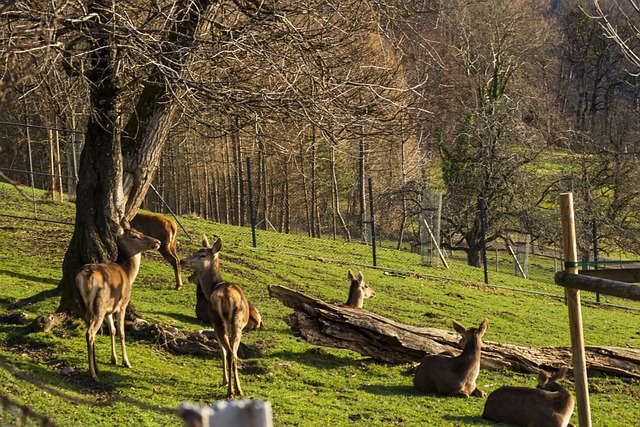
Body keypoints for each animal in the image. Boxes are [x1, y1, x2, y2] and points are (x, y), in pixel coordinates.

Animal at [75, 219, 160, 382]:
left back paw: (96, 367)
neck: (128, 273)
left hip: (83, 304)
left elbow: (112, 330)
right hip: (99, 306)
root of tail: (87, 276)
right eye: (134, 235)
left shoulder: (110, 309)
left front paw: (113, 359)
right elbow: (121, 331)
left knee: (90, 330)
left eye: (139, 231)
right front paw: (126, 362)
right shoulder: (122, 305)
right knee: (90, 332)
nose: (157, 241)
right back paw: (93, 374)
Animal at [181, 234, 251, 398]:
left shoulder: (213, 323)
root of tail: (229, 298)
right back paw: (238, 390)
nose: (182, 261)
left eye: (202, 255)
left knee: (229, 352)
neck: (211, 287)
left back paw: (229, 391)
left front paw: (224, 381)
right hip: (237, 323)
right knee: (234, 353)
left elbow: (222, 351)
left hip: (218, 320)